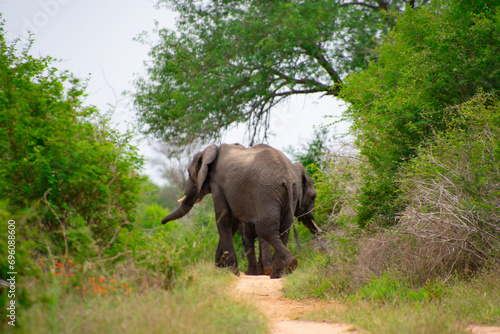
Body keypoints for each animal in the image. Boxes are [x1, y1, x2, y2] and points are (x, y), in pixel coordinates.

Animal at [160, 143, 300, 276]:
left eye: (189, 173)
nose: (162, 222)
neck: (211, 152)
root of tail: (287, 177)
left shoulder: (217, 183)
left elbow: (223, 219)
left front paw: (232, 272)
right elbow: (231, 222)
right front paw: (218, 270)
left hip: (266, 192)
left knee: (265, 230)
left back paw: (288, 265)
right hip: (291, 192)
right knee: (284, 228)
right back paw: (279, 273)